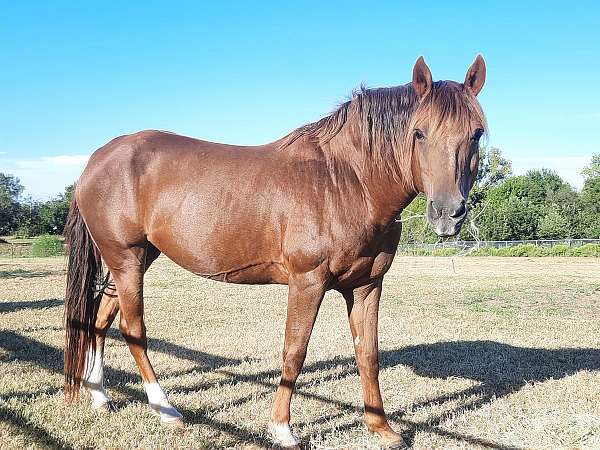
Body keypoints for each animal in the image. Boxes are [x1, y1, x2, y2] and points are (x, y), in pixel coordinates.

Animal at [65, 55, 488, 446]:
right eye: (419, 132)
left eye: (477, 133)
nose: (448, 213)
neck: (345, 181)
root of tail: (96, 160)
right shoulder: (307, 282)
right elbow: (294, 351)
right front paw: (282, 429)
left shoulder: (367, 286)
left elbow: (368, 355)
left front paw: (382, 429)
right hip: (127, 260)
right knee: (132, 328)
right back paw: (165, 408)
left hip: (133, 261)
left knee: (100, 320)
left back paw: (100, 396)